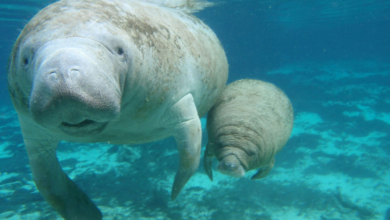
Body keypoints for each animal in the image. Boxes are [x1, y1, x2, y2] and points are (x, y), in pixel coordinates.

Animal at [6, 0, 229, 218]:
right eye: (25, 60)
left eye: (120, 51)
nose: (63, 71)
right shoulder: (32, 130)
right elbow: (46, 182)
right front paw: (89, 213)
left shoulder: (180, 100)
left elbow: (190, 154)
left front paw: (174, 194)